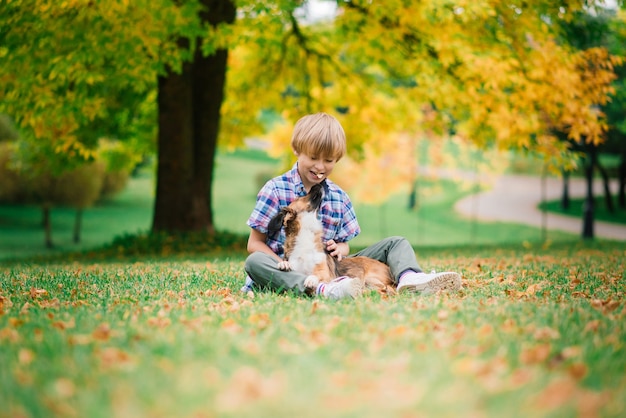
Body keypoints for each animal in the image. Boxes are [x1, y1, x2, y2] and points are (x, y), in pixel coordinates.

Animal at [266, 184, 394, 298]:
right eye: (300, 196)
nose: (319, 184)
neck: (306, 235)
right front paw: (284, 263)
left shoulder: (325, 272)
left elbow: (316, 274)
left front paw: (311, 279)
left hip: (370, 279)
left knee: (384, 290)